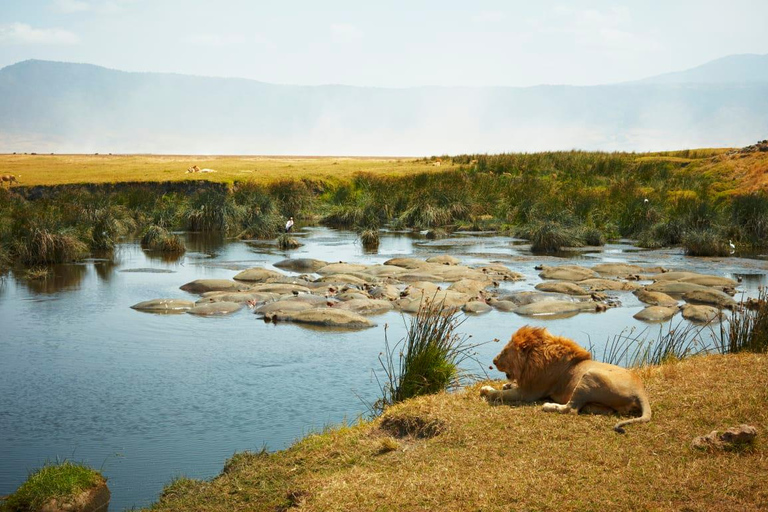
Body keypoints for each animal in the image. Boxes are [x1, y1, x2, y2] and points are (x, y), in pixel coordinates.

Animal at [484, 324, 652, 432]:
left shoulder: (529, 393)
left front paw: (486, 390)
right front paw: (506, 385)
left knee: (571, 409)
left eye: (505, 352)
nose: (494, 361)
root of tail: (640, 390)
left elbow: (500, 394)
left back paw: (549, 405)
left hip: (589, 377)